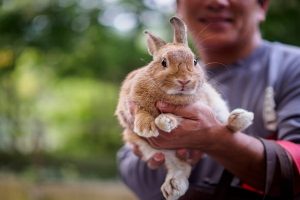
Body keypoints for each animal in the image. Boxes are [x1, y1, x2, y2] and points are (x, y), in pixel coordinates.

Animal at [115, 16, 253, 200]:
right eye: (163, 62)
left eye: (194, 61)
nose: (184, 80)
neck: (172, 94)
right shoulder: (132, 103)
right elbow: (142, 111)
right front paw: (147, 128)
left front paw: (166, 120)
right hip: (155, 150)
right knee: (181, 167)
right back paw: (173, 187)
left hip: (216, 104)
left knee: (224, 124)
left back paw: (240, 118)